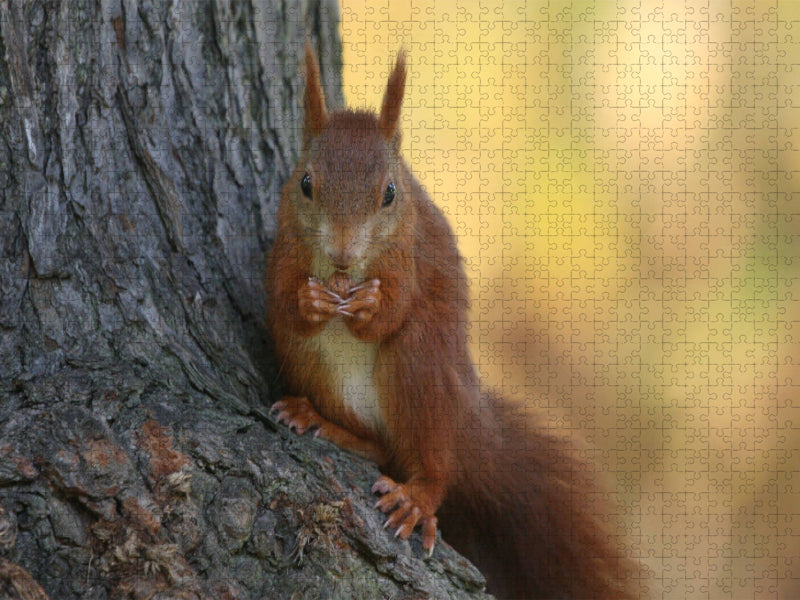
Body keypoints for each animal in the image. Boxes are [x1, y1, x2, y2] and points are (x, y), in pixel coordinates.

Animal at [265, 41, 644, 599]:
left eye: (390, 193)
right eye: (306, 183)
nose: (341, 253)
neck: (344, 274)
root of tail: (466, 425)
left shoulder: (409, 257)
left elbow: (392, 311)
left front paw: (369, 307)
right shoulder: (285, 247)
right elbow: (281, 298)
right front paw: (310, 301)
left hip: (420, 368)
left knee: (433, 465)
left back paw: (416, 497)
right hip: (310, 365)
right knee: (380, 447)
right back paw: (320, 420)